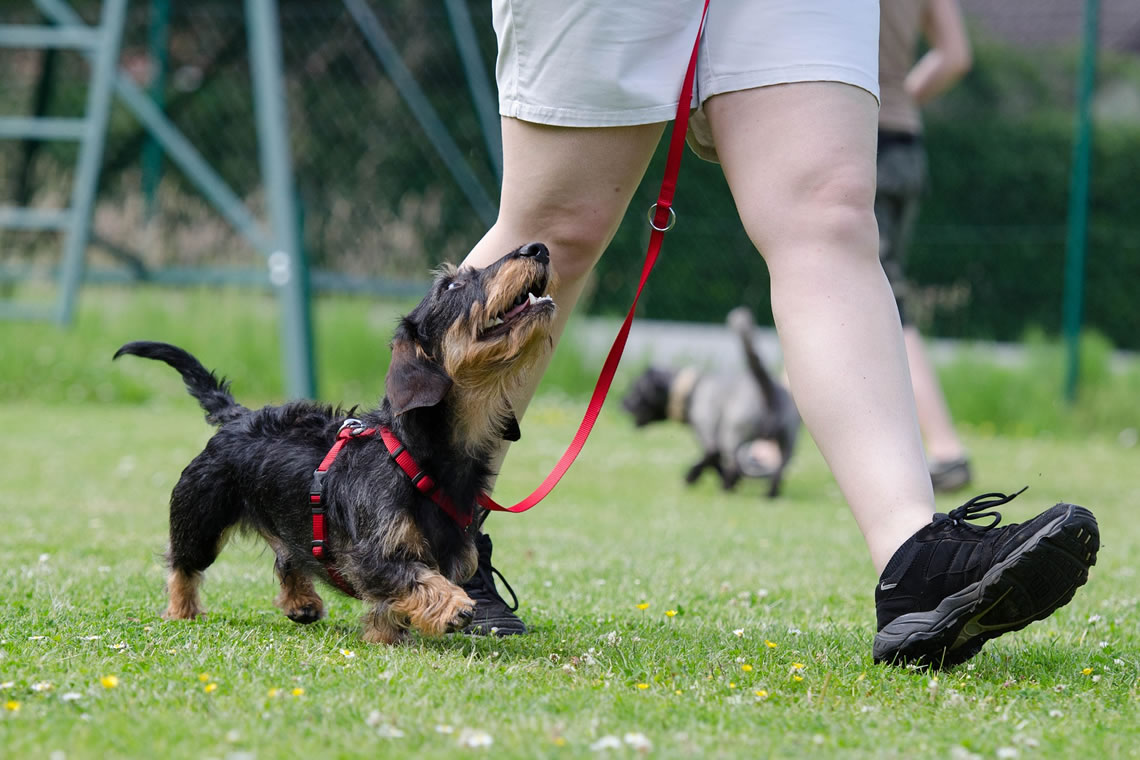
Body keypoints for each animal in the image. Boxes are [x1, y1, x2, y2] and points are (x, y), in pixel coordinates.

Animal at [115, 242, 556, 642]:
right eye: (451, 285)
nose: (537, 248)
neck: (416, 455)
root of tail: (238, 416)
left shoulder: (451, 554)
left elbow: (393, 603)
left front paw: (385, 635)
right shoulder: (372, 555)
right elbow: (415, 578)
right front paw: (452, 606)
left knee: (288, 556)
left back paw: (301, 602)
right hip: (200, 517)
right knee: (182, 564)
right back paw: (182, 610)